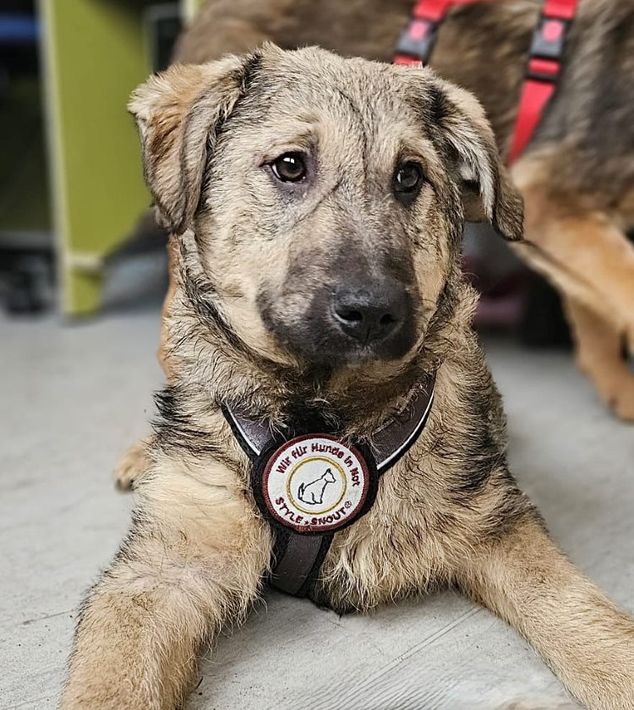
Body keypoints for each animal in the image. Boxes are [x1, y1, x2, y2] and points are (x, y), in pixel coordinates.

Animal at [62, 46, 634, 709]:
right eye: (290, 166)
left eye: (410, 177)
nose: (372, 312)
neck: (318, 409)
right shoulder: (165, 568)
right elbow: (109, 682)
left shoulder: (501, 526)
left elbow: (587, 622)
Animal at [157, 0, 634, 423]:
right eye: (291, 166)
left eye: (408, 177)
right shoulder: (551, 197)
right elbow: (623, 290)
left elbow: (594, 314)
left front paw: (617, 387)